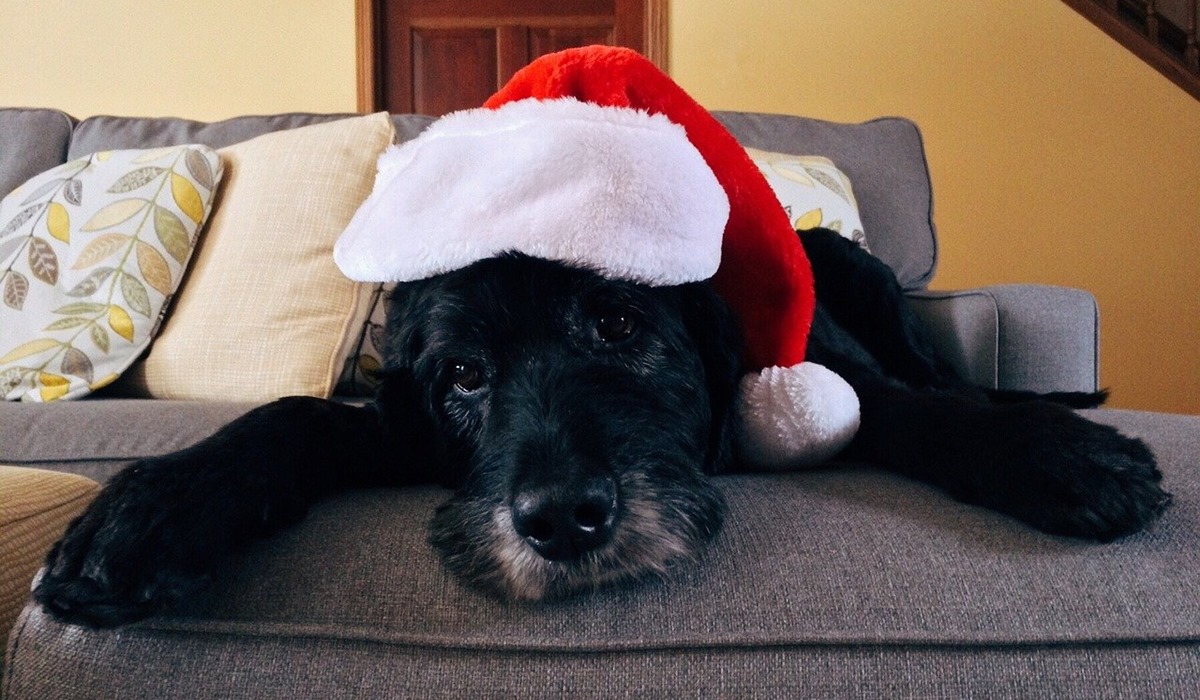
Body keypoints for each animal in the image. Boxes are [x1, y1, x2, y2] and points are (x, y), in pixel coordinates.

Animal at [32, 230, 1166, 629]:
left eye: (618, 322)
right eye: (464, 374)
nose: (562, 519)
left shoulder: (841, 383)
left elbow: (921, 411)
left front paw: (1064, 456)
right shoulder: (398, 423)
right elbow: (297, 420)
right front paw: (147, 513)